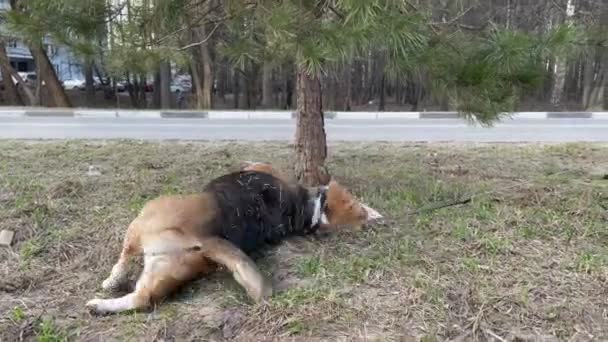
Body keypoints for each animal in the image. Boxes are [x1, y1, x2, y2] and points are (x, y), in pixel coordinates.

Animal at [86, 167, 380, 314]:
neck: (307, 211)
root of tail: (208, 238)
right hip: (167, 268)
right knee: (142, 299)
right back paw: (100, 307)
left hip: (143, 222)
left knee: (126, 261)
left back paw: (109, 284)